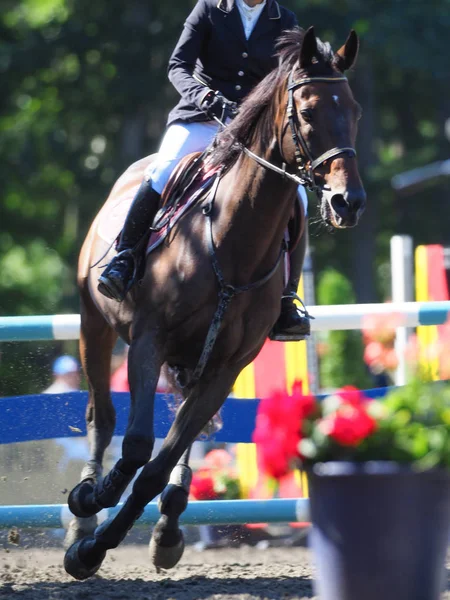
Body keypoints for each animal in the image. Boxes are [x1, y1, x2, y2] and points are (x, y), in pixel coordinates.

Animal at [63, 25, 366, 580]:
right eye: (308, 111)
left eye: (353, 109)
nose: (347, 203)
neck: (230, 241)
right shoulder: (148, 342)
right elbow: (135, 446)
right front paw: (90, 507)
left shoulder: (225, 369)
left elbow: (157, 465)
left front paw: (98, 547)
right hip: (94, 325)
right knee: (102, 416)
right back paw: (84, 512)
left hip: (194, 363)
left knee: (185, 440)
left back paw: (166, 527)